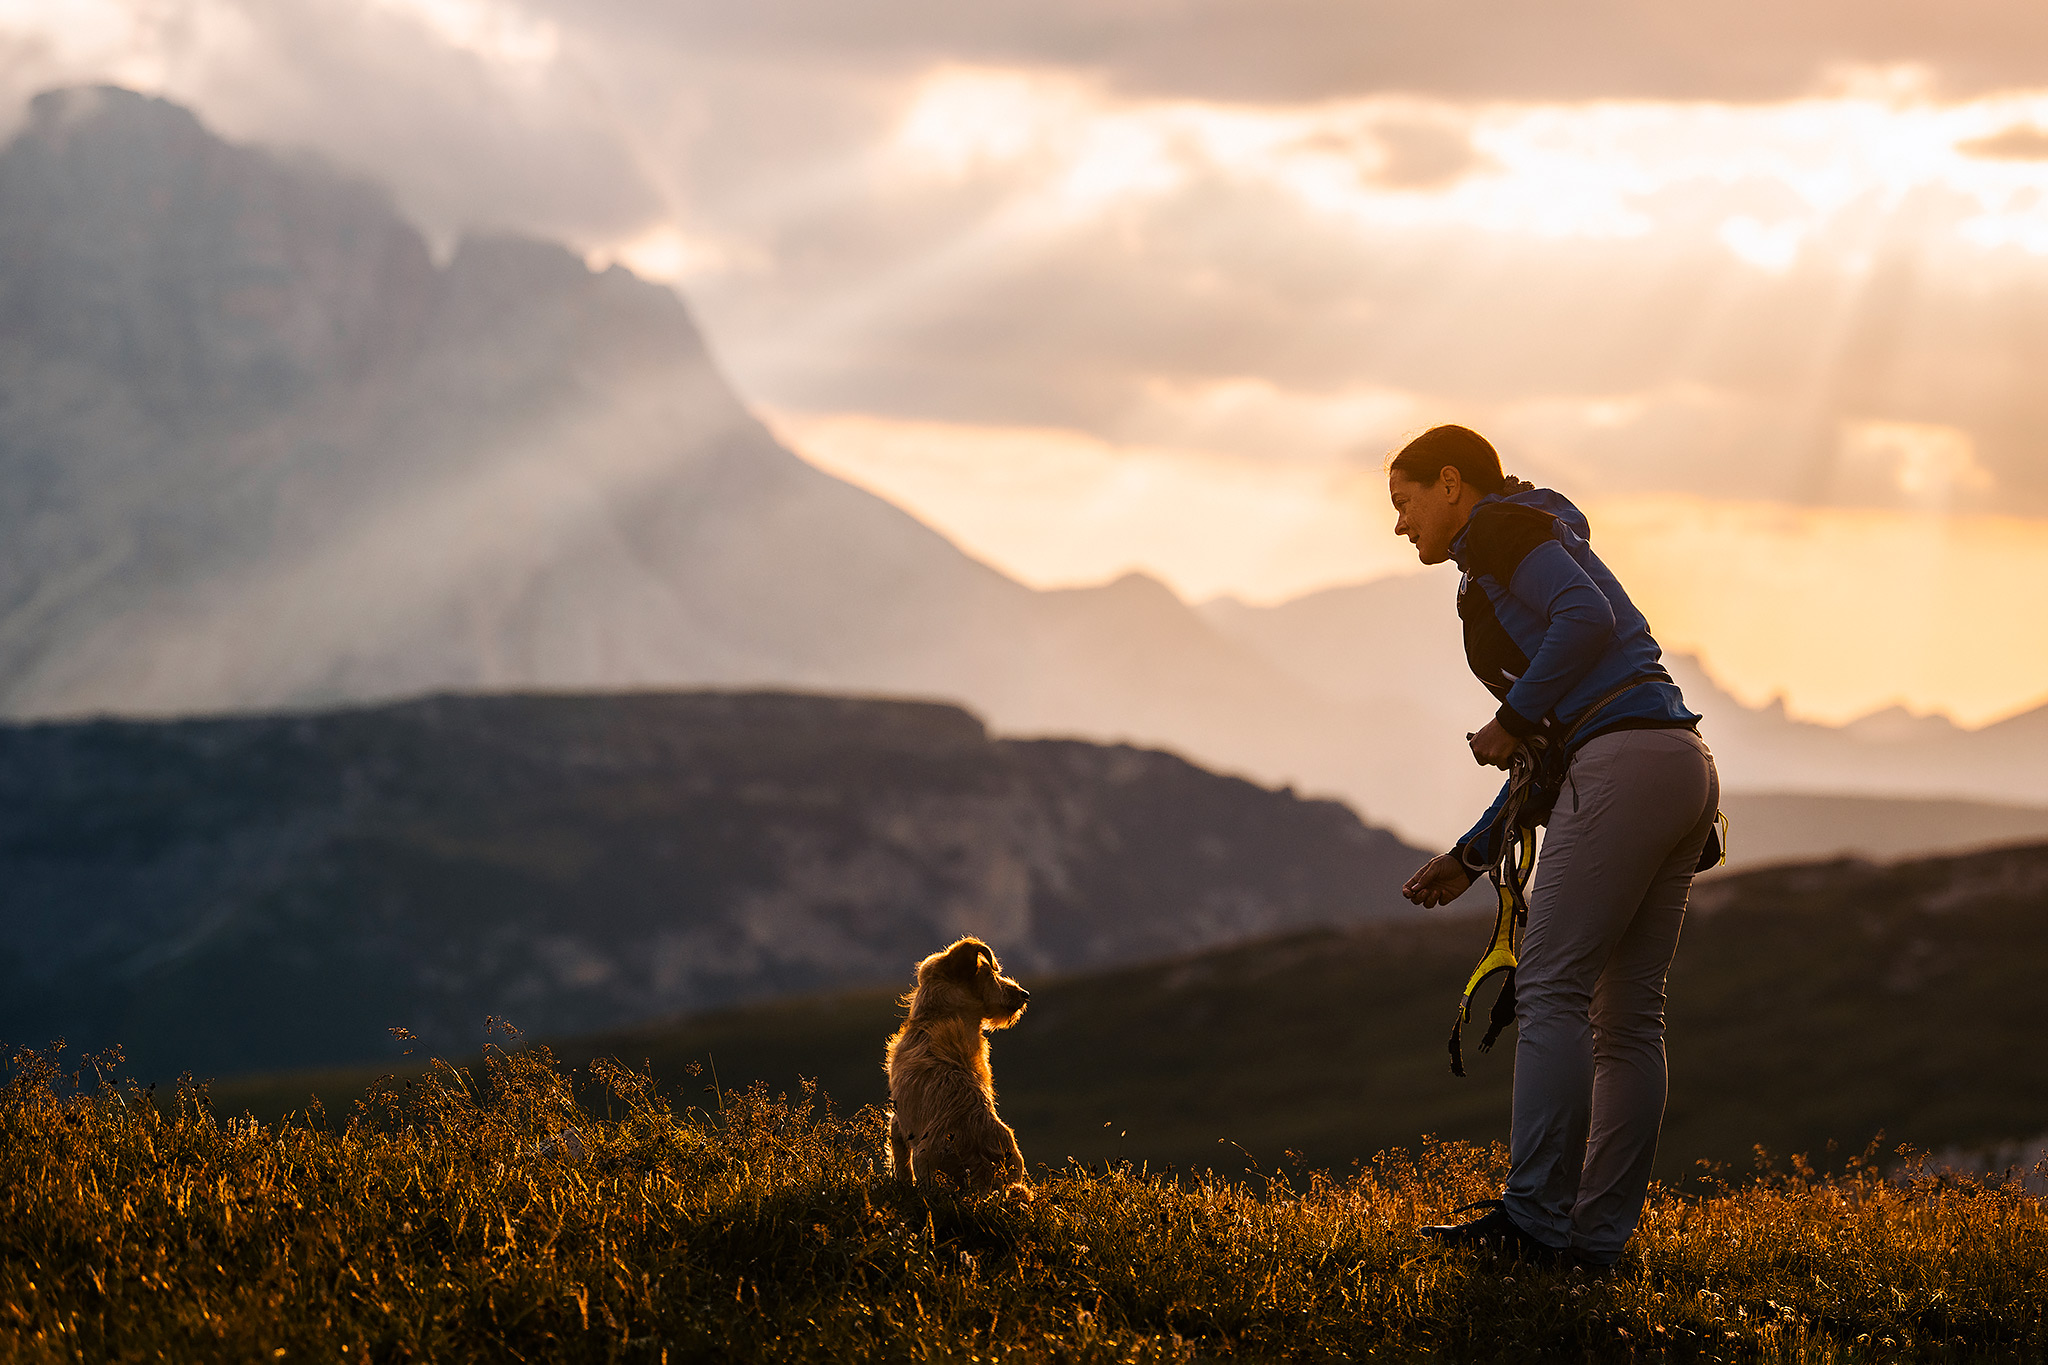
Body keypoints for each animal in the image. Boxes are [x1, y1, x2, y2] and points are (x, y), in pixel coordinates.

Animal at [888, 941, 1032, 1195]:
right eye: (990, 975)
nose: (1024, 994)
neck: (935, 1018)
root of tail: (983, 1171)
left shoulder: (898, 1122)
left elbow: (901, 1164)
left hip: (923, 1158)